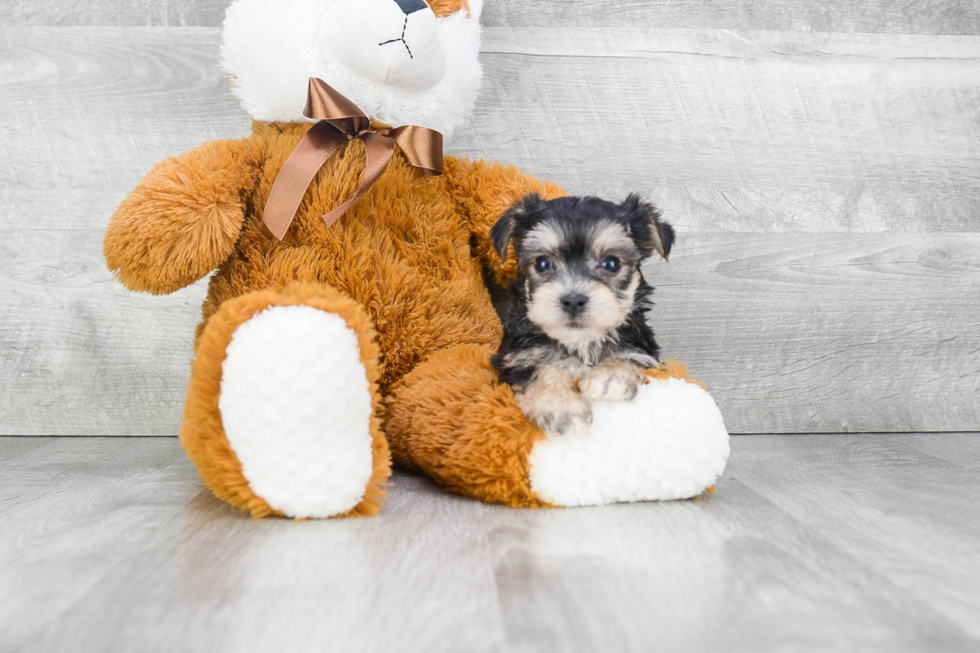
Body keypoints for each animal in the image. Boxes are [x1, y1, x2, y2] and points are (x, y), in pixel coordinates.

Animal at [490, 194, 672, 438]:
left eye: (611, 263)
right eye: (543, 263)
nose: (573, 300)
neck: (581, 342)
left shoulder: (644, 352)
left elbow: (628, 358)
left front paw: (610, 376)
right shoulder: (515, 359)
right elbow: (540, 370)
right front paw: (559, 406)